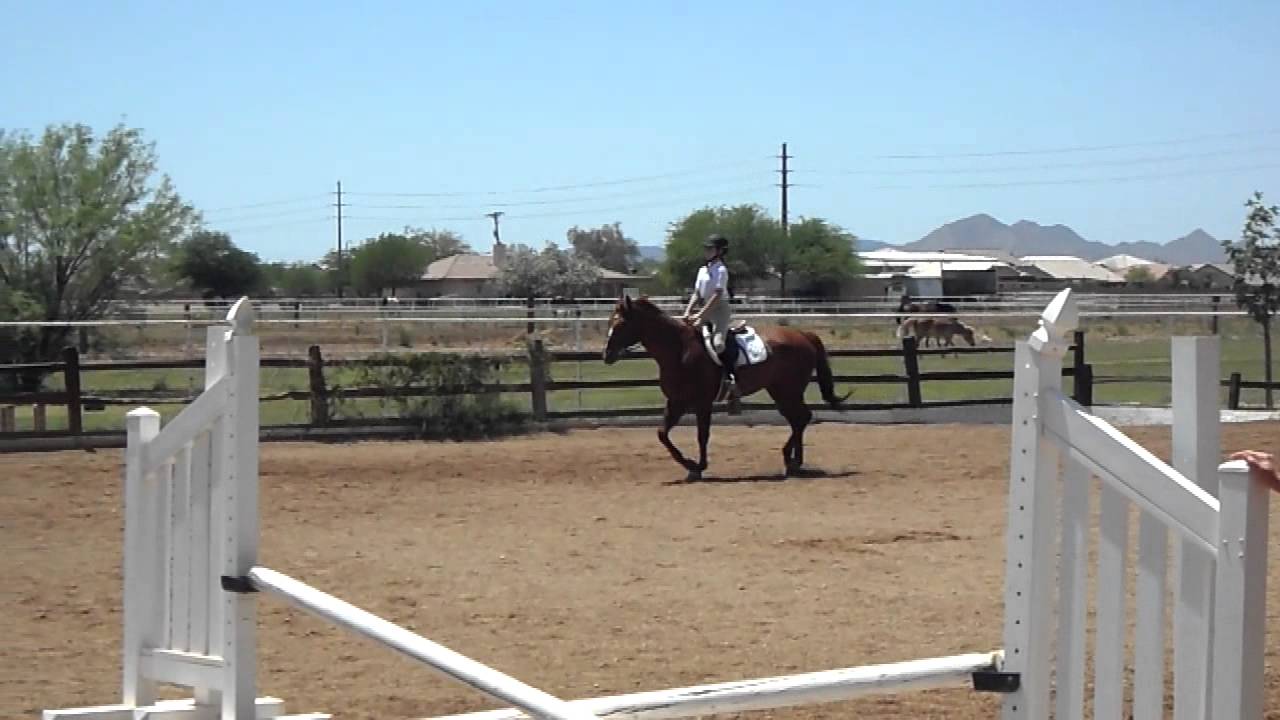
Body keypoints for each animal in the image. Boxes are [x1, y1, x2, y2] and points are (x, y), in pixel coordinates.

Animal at [602, 296, 849, 481]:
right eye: (610, 321)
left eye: (620, 323)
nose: (606, 355)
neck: (679, 350)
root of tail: (803, 334)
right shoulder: (676, 401)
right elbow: (662, 434)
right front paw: (689, 465)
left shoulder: (701, 402)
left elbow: (702, 435)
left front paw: (698, 466)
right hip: (780, 391)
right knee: (798, 419)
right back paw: (793, 462)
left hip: (789, 391)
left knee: (801, 418)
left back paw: (793, 461)